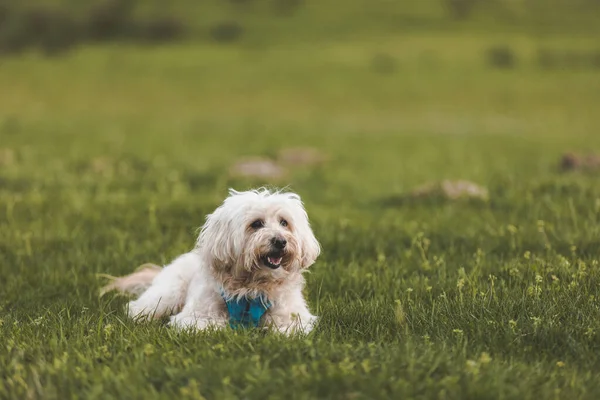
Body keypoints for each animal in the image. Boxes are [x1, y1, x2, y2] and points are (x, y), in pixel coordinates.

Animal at [101, 188, 322, 334]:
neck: (253, 287)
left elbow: (287, 328)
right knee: (139, 309)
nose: (280, 241)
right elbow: (213, 325)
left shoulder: (295, 317)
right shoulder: (194, 317)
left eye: (284, 222)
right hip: (167, 296)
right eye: (256, 224)